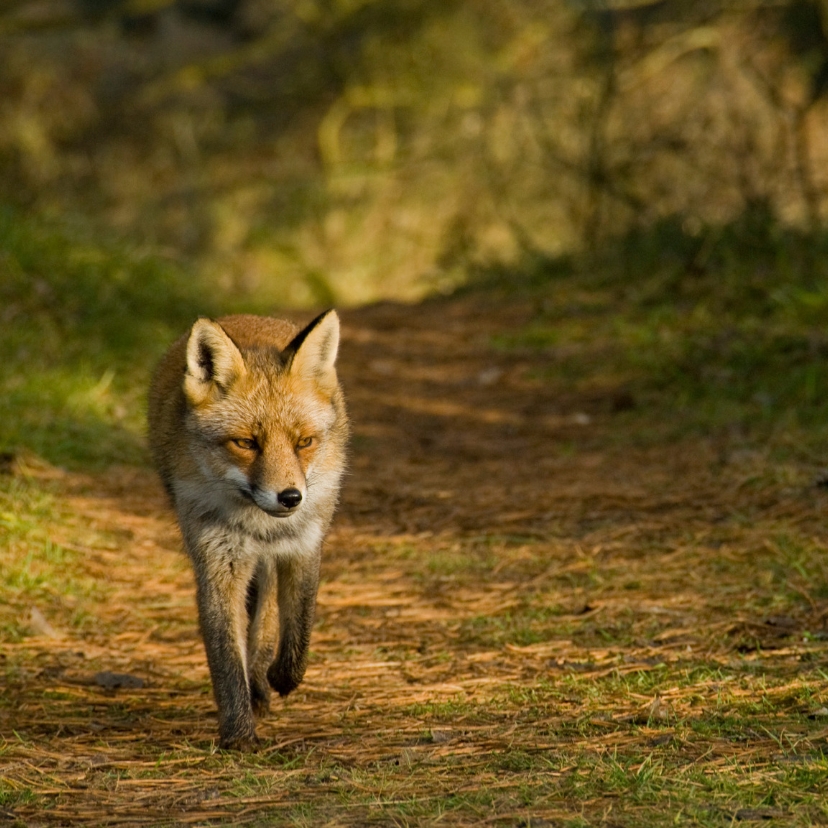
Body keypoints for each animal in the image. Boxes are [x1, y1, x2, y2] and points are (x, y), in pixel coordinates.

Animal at [147, 310, 348, 752]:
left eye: (304, 442)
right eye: (246, 443)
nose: (290, 498)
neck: (259, 526)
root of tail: (248, 317)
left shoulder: (304, 546)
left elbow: (298, 630)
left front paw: (281, 678)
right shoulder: (216, 561)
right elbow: (225, 656)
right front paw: (238, 732)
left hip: (273, 561)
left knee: (268, 618)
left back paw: (263, 678)